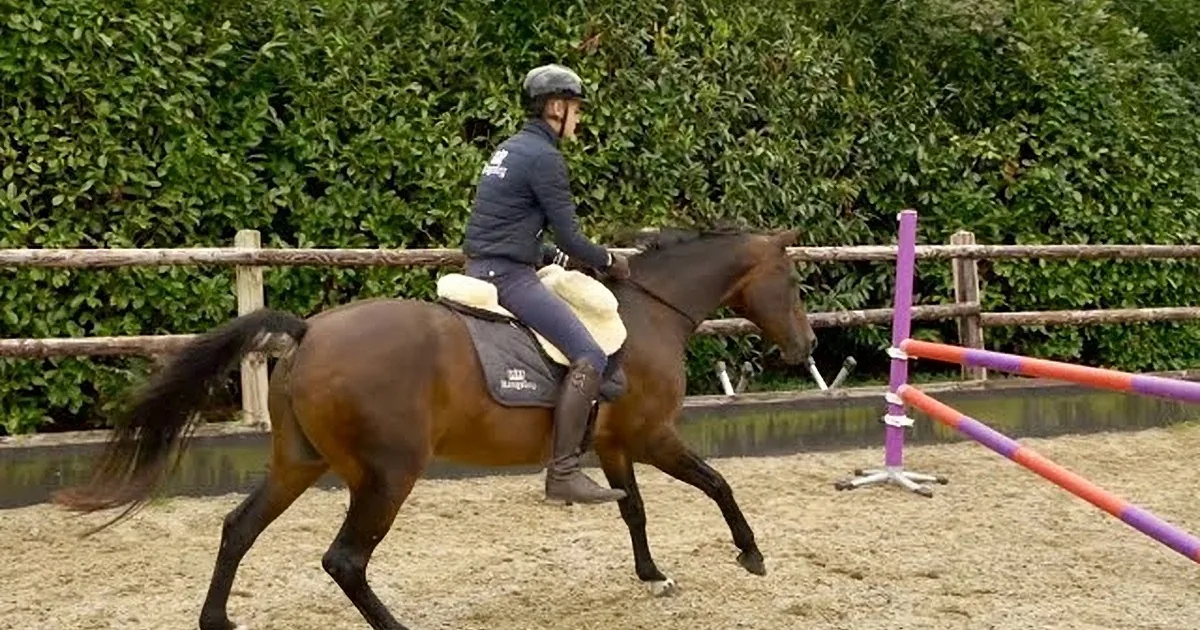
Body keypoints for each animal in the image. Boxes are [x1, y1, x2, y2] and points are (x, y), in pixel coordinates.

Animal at [53, 226, 816, 630]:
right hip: (388, 475)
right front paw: (750, 553)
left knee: (239, 528)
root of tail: (310, 330)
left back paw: (217, 620)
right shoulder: (652, 437)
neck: (647, 312)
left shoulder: (612, 443)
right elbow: (716, 484)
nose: (807, 345)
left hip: (298, 463)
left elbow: (633, 510)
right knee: (345, 561)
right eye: (794, 284)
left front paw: (653, 576)